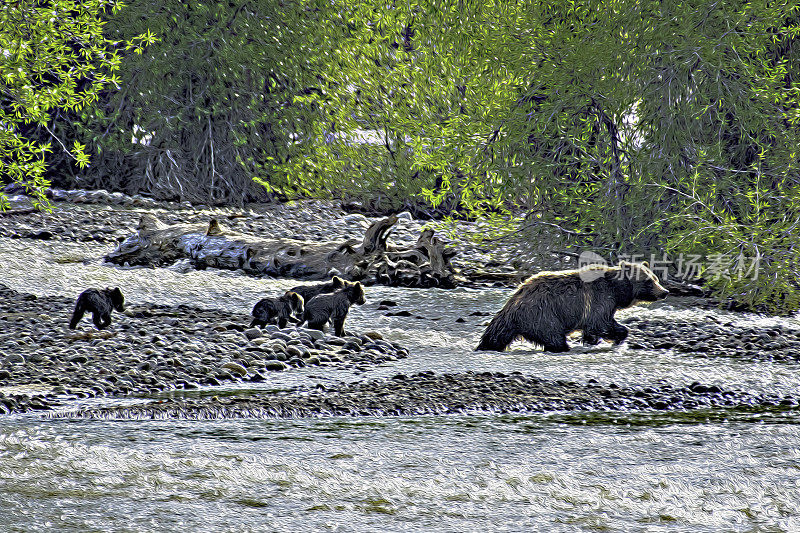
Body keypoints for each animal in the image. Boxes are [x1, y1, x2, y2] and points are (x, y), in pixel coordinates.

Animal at [476, 260, 668, 352]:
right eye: (649, 281)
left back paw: (485, 345)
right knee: (553, 336)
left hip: (514, 320)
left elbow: (597, 325)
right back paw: (562, 347)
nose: (664, 292)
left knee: (496, 335)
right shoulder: (600, 299)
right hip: (543, 315)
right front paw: (618, 335)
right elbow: (600, 322)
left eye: (656, 278)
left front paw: (592, 339)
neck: (617, 290)